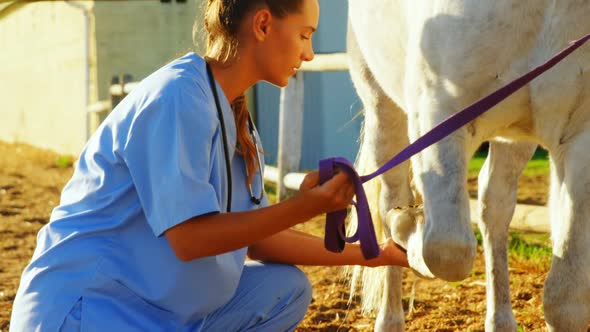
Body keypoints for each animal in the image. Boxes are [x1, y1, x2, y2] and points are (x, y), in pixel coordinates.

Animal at [346, 1, 590, 330]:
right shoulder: (437, 113)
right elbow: (447, 250)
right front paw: (406, 224)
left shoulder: (580, 137)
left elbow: (566, 301)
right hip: (381, 107)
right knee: (392, 198)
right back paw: (390, 316)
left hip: (514, 136)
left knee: (494, 208)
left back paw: (500, 321)